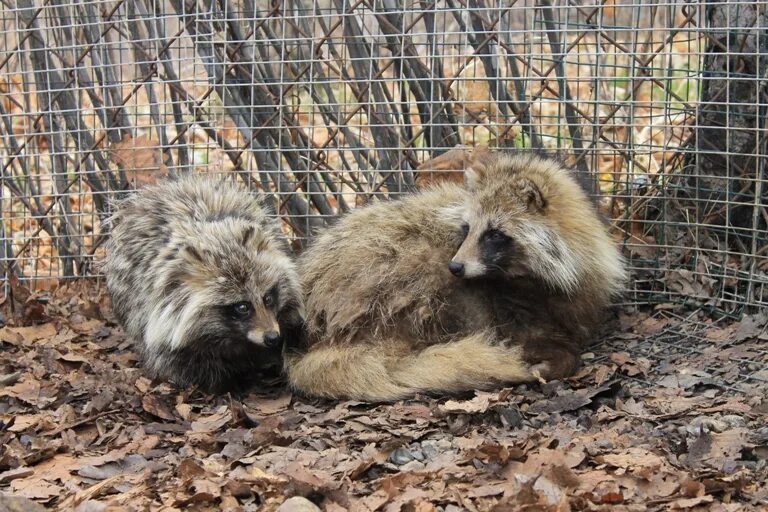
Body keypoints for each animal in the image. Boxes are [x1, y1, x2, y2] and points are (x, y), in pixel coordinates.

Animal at [105, 175, 304, 392]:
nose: (272, 337)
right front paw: (228, 380)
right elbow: (176, 359)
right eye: (242, 307)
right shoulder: (156, 312)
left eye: (268, 298)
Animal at [284, 152, 628, 400]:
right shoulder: (505, 307)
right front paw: (553, 356)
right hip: (391, 279)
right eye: (467, 228)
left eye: (494, 234)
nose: (456, 267)